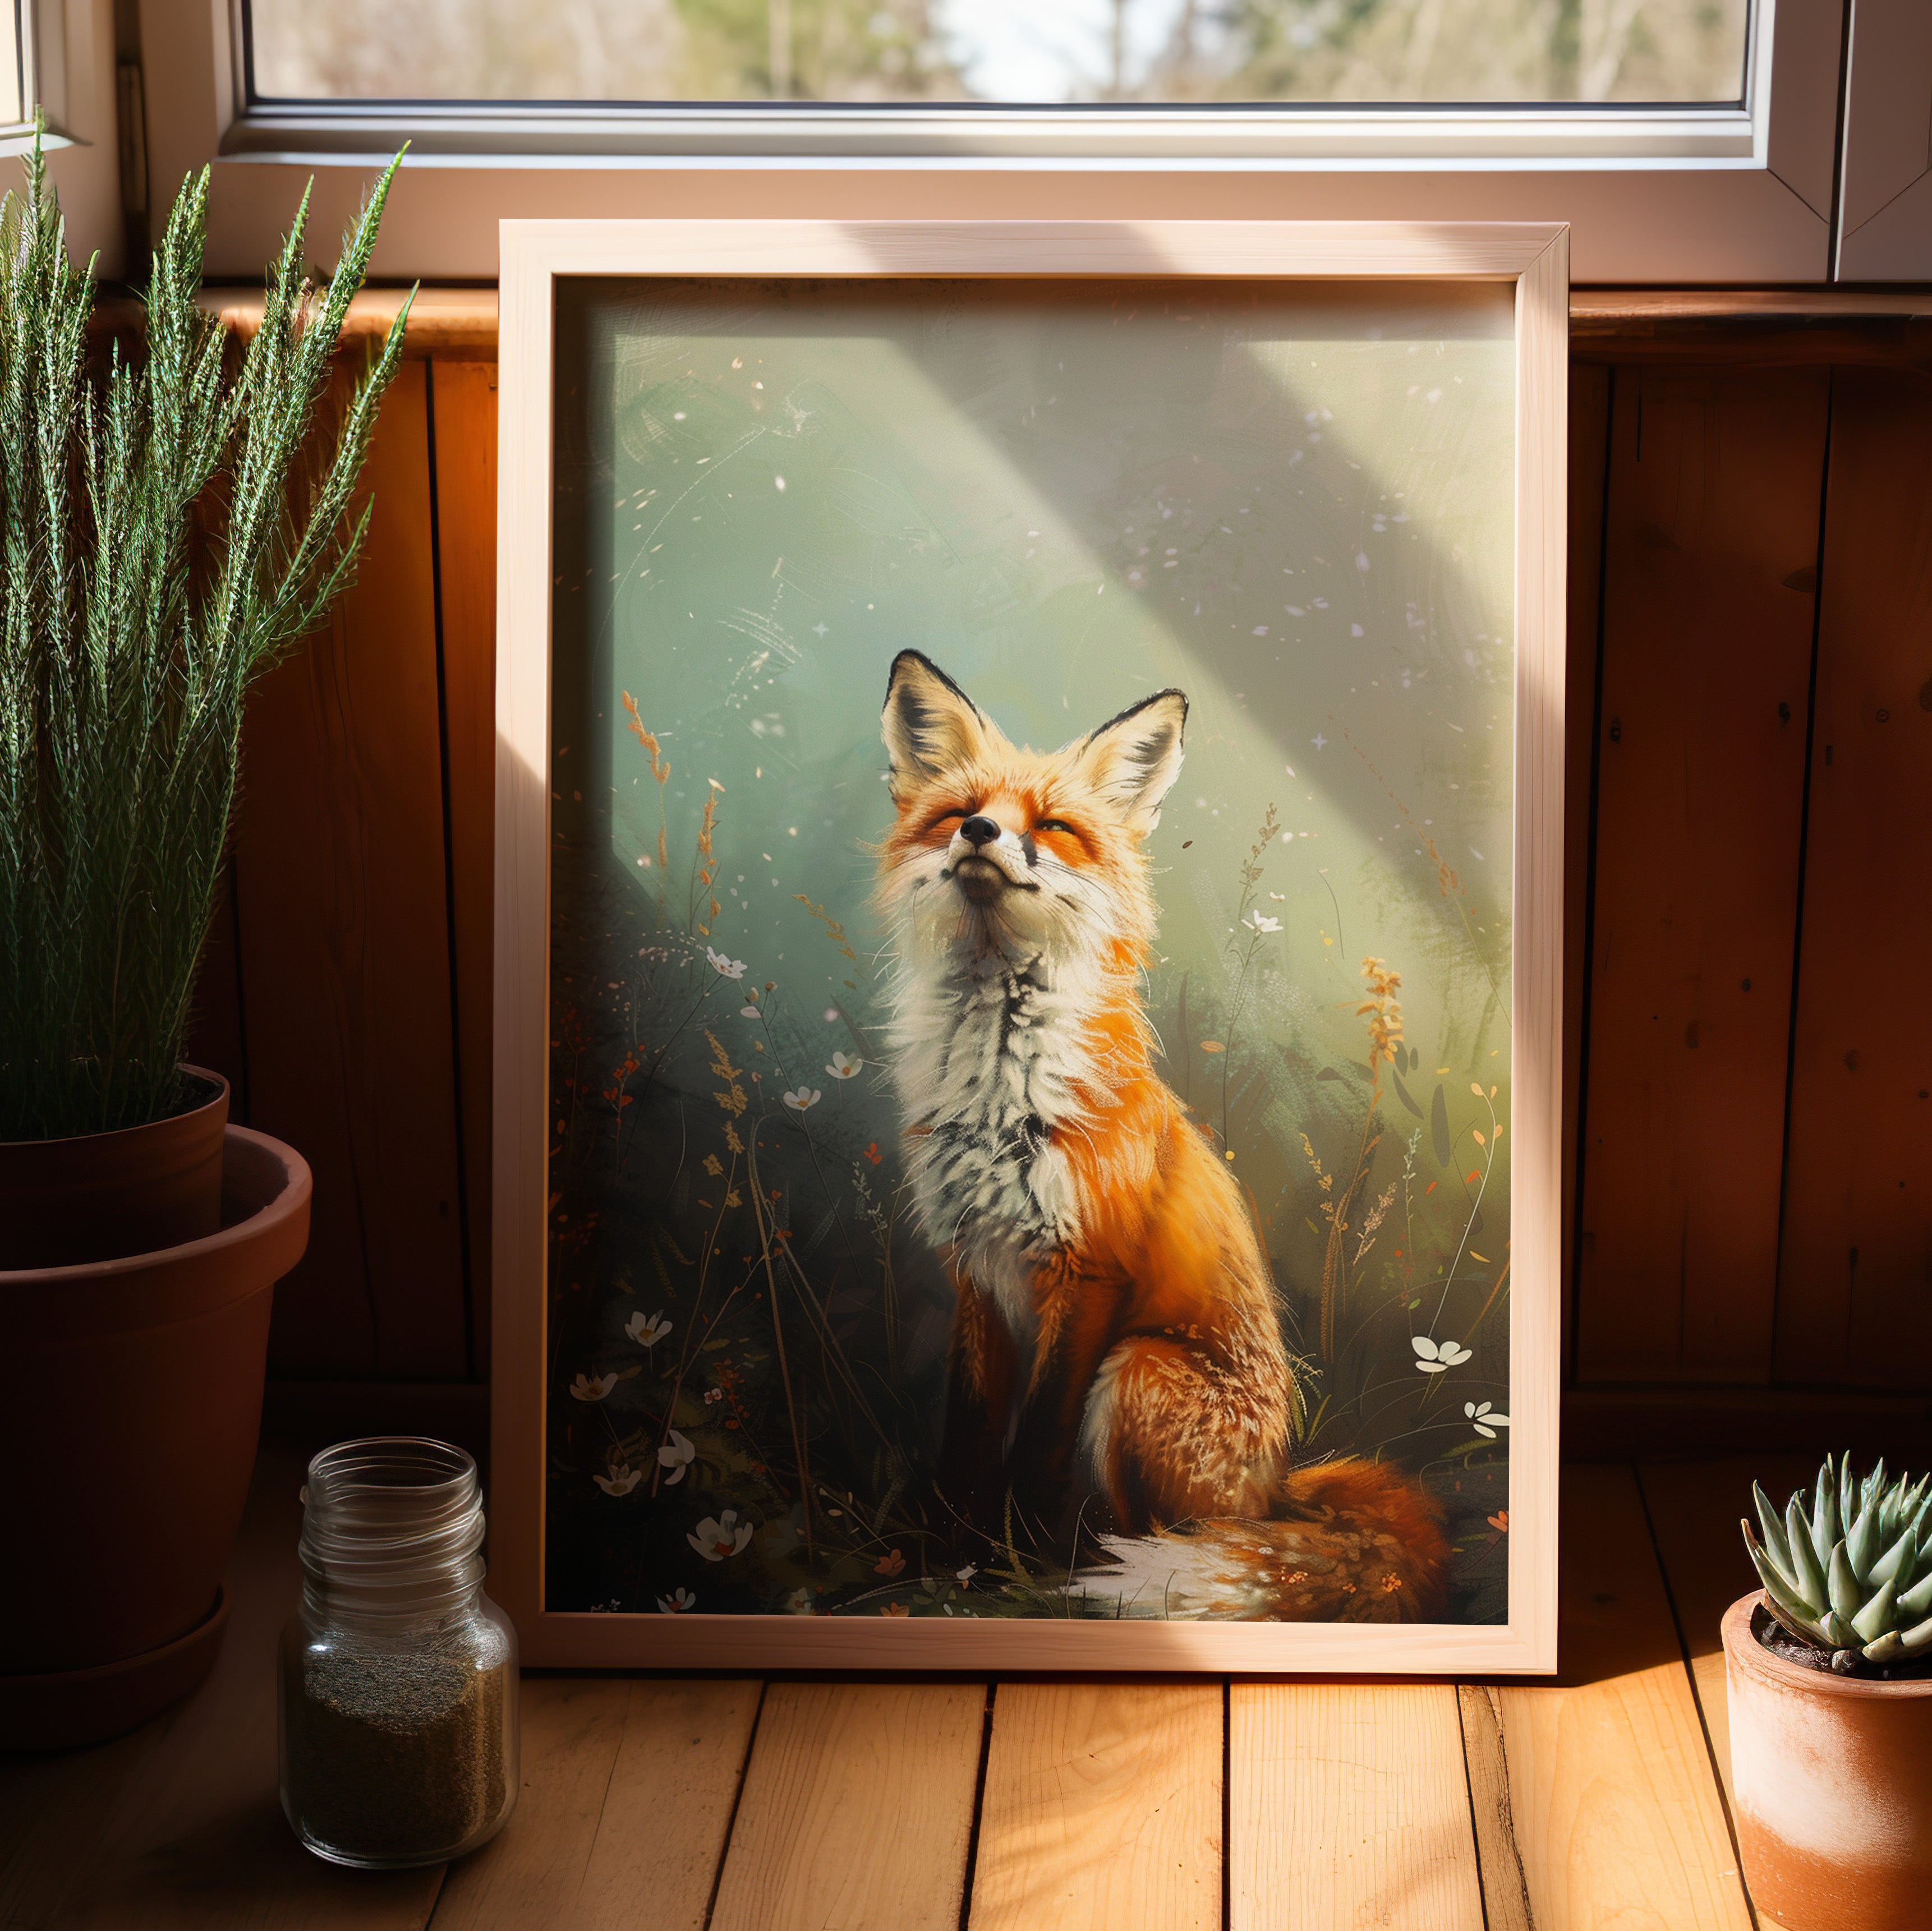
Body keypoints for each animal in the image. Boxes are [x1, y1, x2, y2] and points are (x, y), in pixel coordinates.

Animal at [874, 649, 1448, 1622]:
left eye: (1054, 826)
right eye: (960, 812)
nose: (981, 833)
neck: (1000, 1083)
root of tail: (1277, 1489)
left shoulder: (1090, 1268)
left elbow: (1035, 1447)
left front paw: (1014, 1567)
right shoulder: (976, 1266)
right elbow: (969, 1432)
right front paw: (943, 1555)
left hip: (1138, 1367)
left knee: (1172, 1539)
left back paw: (1107, 1570)